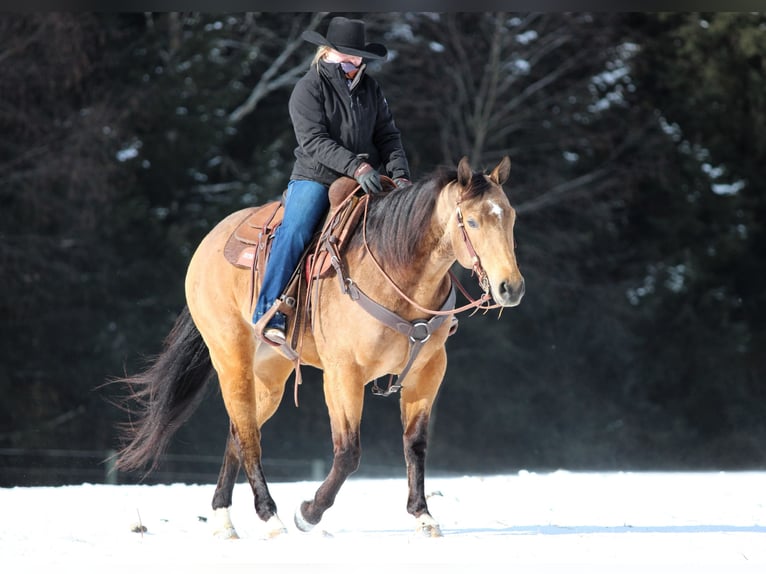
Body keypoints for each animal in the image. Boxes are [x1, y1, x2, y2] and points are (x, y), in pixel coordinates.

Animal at [115, 156, 520, 540]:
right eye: (471, 221)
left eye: (510, 217)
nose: (510, 287)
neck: (395, 270)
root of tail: (209, 243)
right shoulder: (343, 373)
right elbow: (348, 453)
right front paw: (308, 513)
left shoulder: (427, 373)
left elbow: (415, 444)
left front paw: (423, 516)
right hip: (232, 359)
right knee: (248, 436)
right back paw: (271, 517)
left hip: (271, 376)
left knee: (238, 431)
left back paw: (224, 520)